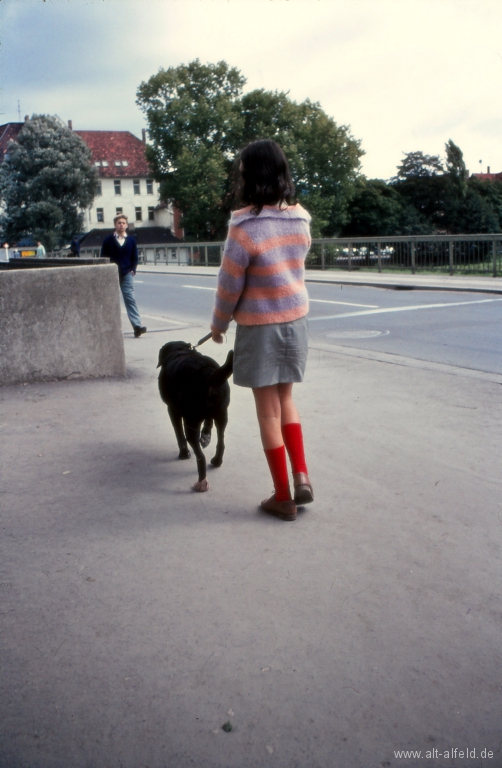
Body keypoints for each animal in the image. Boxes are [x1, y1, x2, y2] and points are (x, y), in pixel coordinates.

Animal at [157, 340, 233, 492]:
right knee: (221, 442)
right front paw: (206, 436)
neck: (180, 350)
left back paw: (201, 482)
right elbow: (208, 422)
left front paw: (184, 453)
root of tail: (209, 374)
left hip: (191, 421)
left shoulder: (173, 409)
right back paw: (217, 461)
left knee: (200, 456)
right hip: (222, 414)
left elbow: (179, 434)